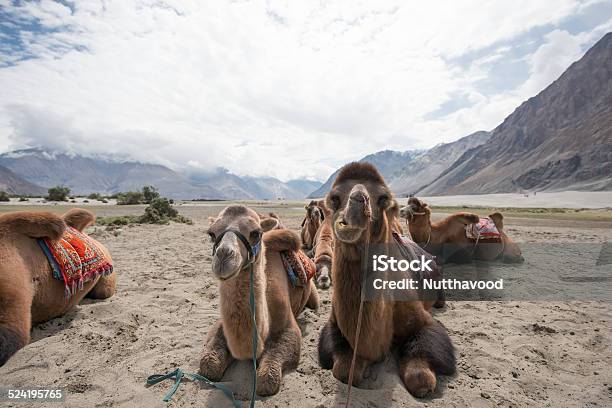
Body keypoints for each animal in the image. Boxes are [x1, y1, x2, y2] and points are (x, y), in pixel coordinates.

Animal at [201, 204, 320, 396]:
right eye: (211, 233)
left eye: (256, 233)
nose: (224, 256)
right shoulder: (220, 325)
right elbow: (208, 365)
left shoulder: (288, 327)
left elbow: (267, 379)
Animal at [316, 163, 454, 398]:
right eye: (334, 198)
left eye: (383, 198)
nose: (356, 207)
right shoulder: (334, 325)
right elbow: (343, 369)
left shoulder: (423, 321)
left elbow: (421, 376)